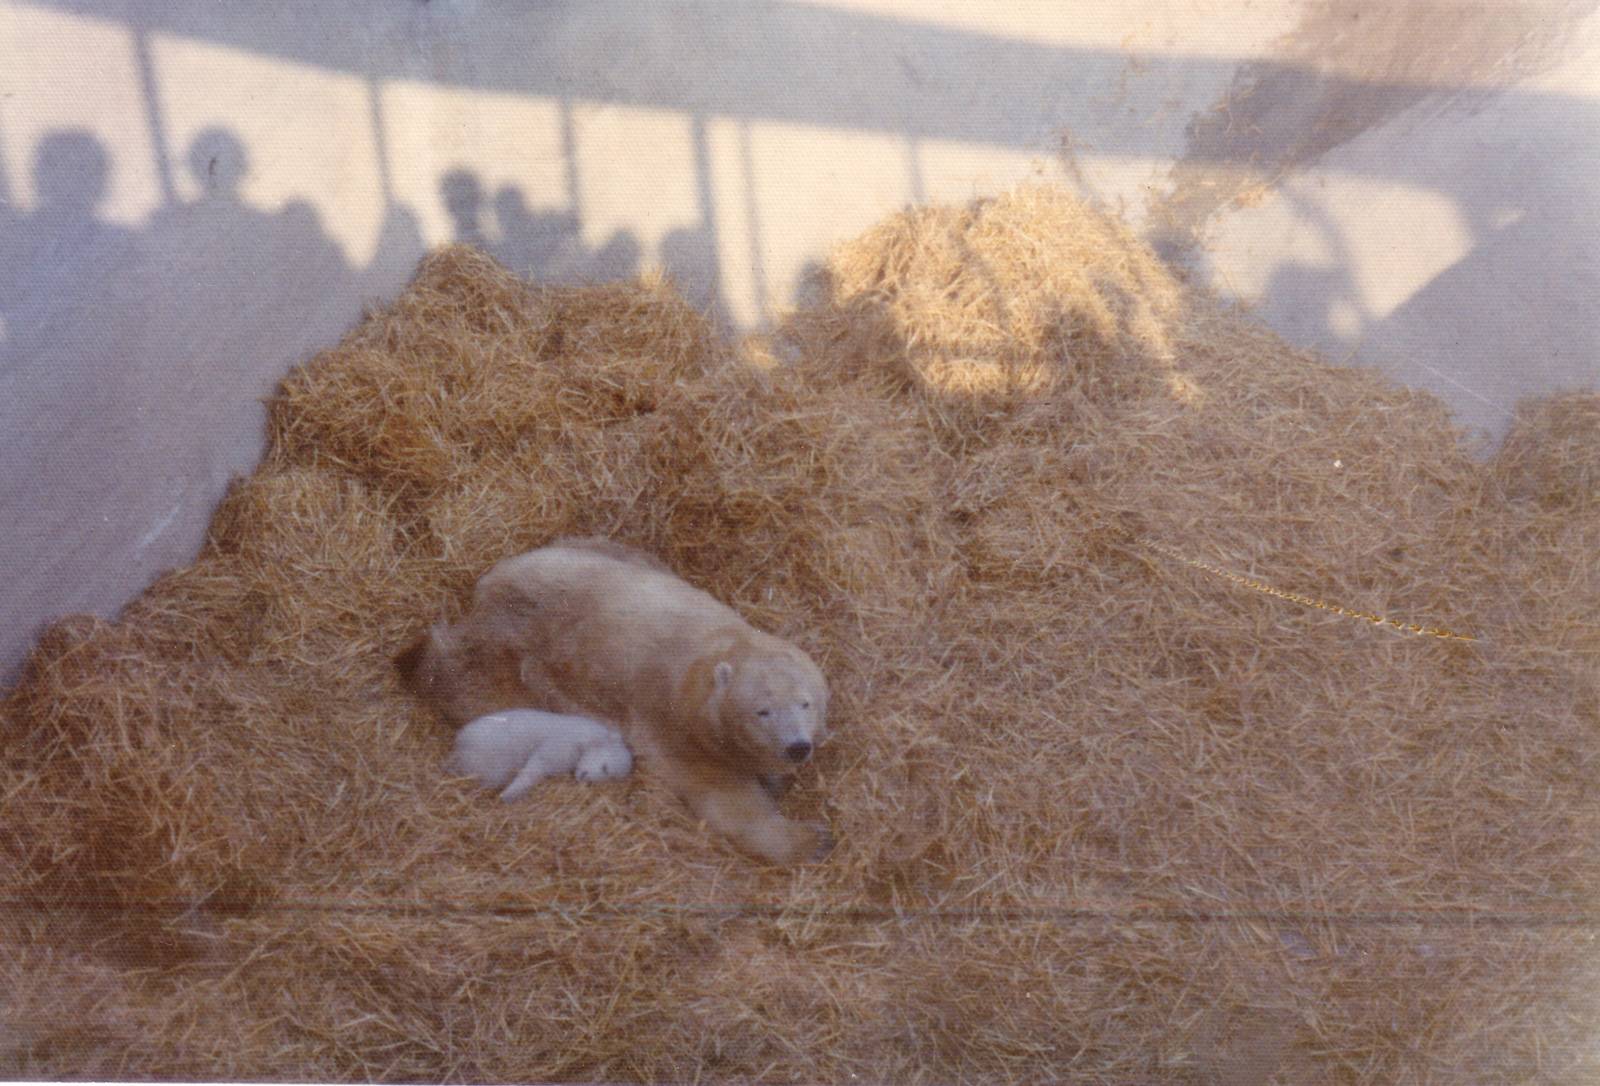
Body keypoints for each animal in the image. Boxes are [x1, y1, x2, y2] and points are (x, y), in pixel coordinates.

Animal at [447, 709, 634, 802]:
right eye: (605, 767)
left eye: (610, 778)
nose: (583, 778)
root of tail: (459, 746)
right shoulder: (559, 745)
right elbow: (536, 765)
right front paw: (508, 795)